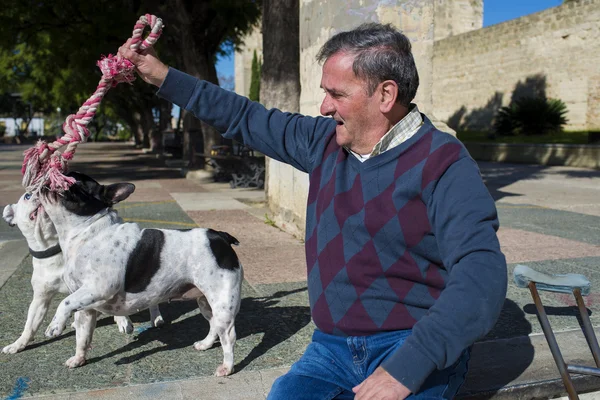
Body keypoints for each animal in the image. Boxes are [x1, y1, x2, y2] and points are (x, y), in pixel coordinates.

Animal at [2, 191, 164, 366]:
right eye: (27, 196)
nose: (36, 193)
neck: (54, 244)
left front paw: (122, 320)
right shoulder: (41, 298)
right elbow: (30, 324)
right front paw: (18, 344)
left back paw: (155, 317)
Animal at [39, 172, 243, 376]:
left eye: (75, 184)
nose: (52, 176)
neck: (87, 233)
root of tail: (220, 236)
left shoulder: (98, 288)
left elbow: (65, 303)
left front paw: (54, 326)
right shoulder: (85, 307)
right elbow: (82, 336)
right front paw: (79, 359)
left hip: (223, 304)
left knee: (228, 336)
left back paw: (227, 367)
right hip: (206, 302)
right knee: (213, 325)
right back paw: (205, 344)